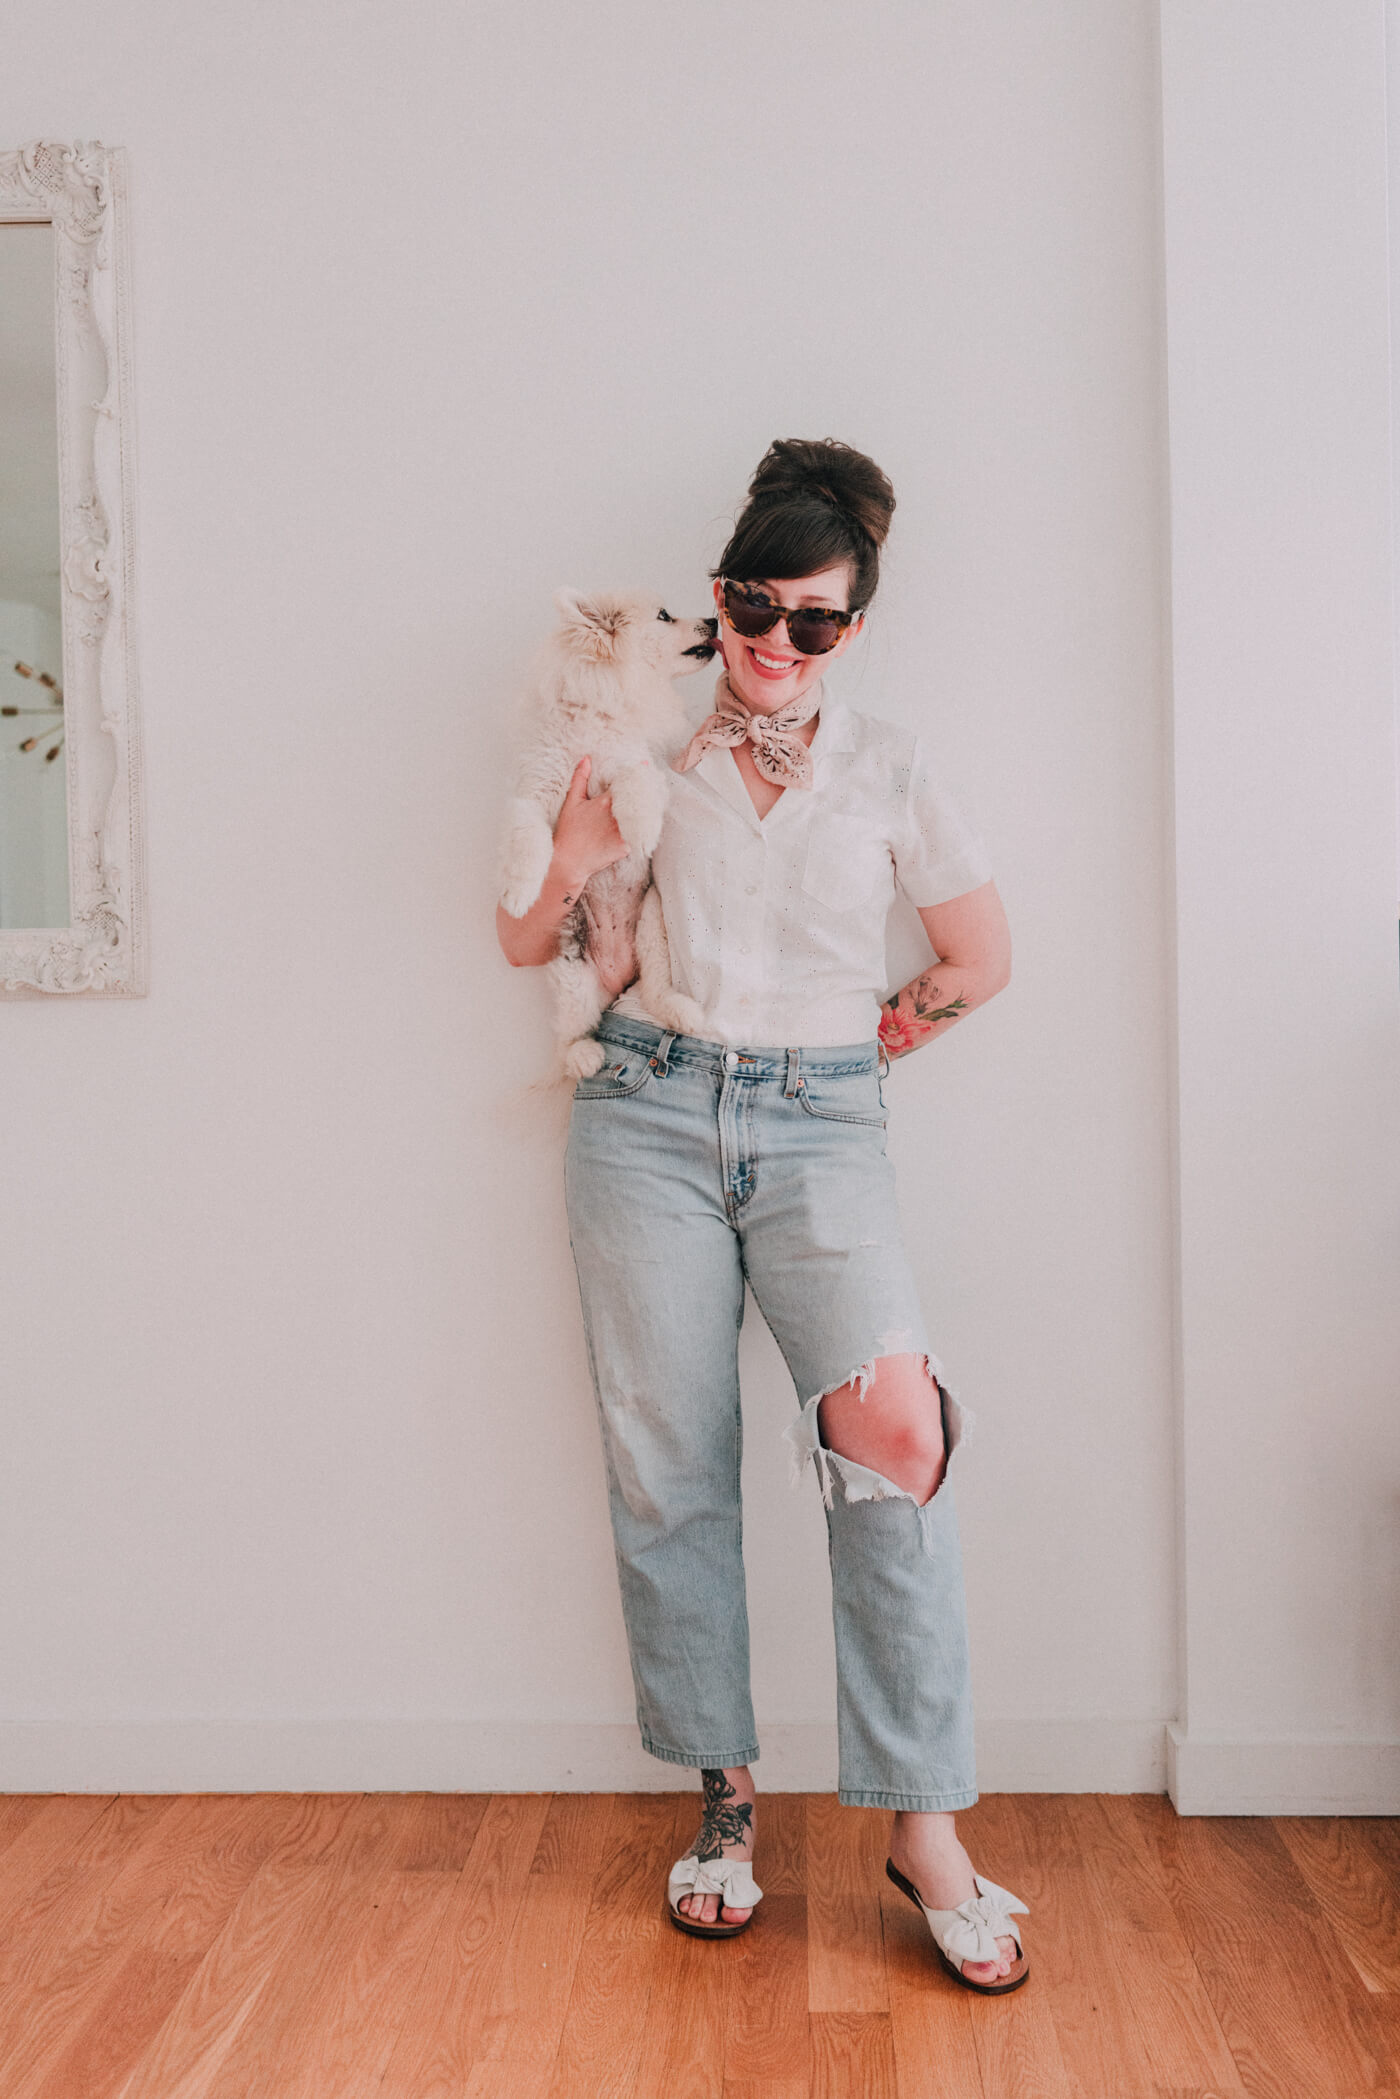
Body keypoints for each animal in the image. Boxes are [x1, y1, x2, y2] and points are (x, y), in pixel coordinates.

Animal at [497, 591, 713, 1083]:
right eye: (665, 616)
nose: (713, 621)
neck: (593, 723)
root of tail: (618, 978)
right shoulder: (534, 796)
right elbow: (527, 839)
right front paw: (518, 895)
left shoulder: (644, 768)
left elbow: (634, 781)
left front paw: (640, 829)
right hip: (572, 975)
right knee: (569, 1038)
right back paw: (584, 1056)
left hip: (653, 926)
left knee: (654, 991)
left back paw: (682, 1011)